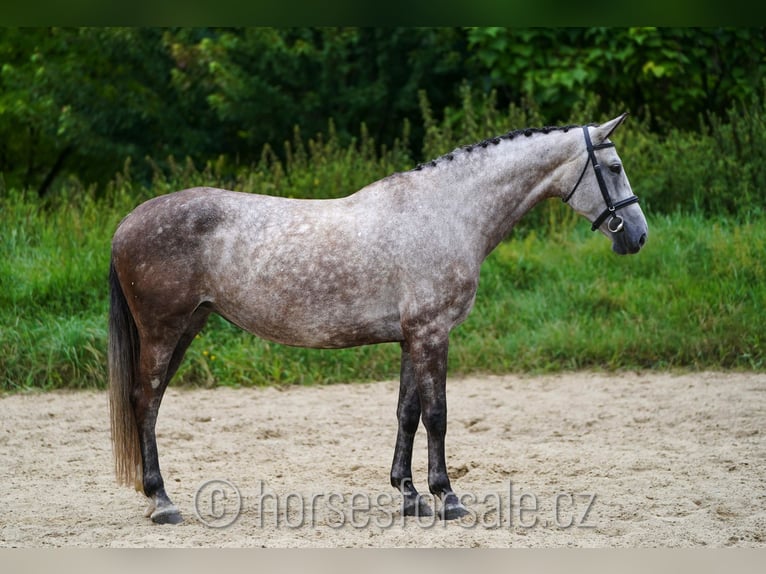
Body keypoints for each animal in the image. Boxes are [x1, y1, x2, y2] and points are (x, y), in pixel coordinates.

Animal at [108, 112, 648, 528]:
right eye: (615, 167)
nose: (638, 236)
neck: (446, 212)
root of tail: (127, 223)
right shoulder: (432, 333)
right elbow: (437, 414)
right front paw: (447, 497)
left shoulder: (411, 337)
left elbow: (407, 413)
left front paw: (409, 496)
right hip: (164, 332)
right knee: (145, 402)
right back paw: (162, 502)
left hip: (188, 327)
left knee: (150, 403)